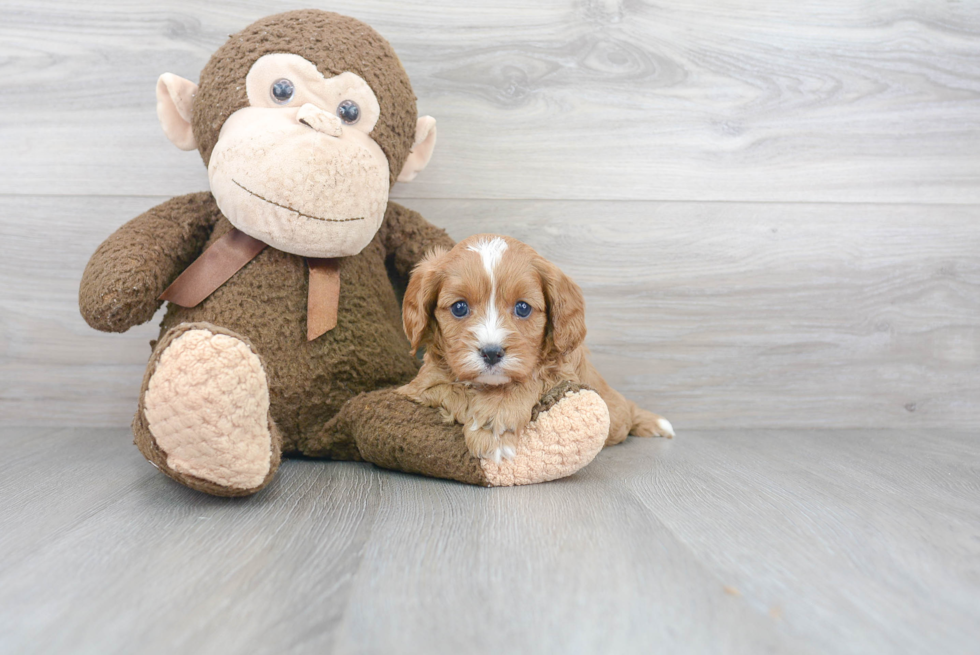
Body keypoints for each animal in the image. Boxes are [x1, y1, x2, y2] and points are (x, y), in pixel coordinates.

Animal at [398, 233, 672, 464]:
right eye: (459, 308)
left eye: (523, 308)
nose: (491, 353)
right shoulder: (419, 387)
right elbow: (453, 389)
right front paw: (486, 424)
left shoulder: (563, 373)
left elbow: (532, 379)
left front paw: (496, 419)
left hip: (614, 410)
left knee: (626, 410)